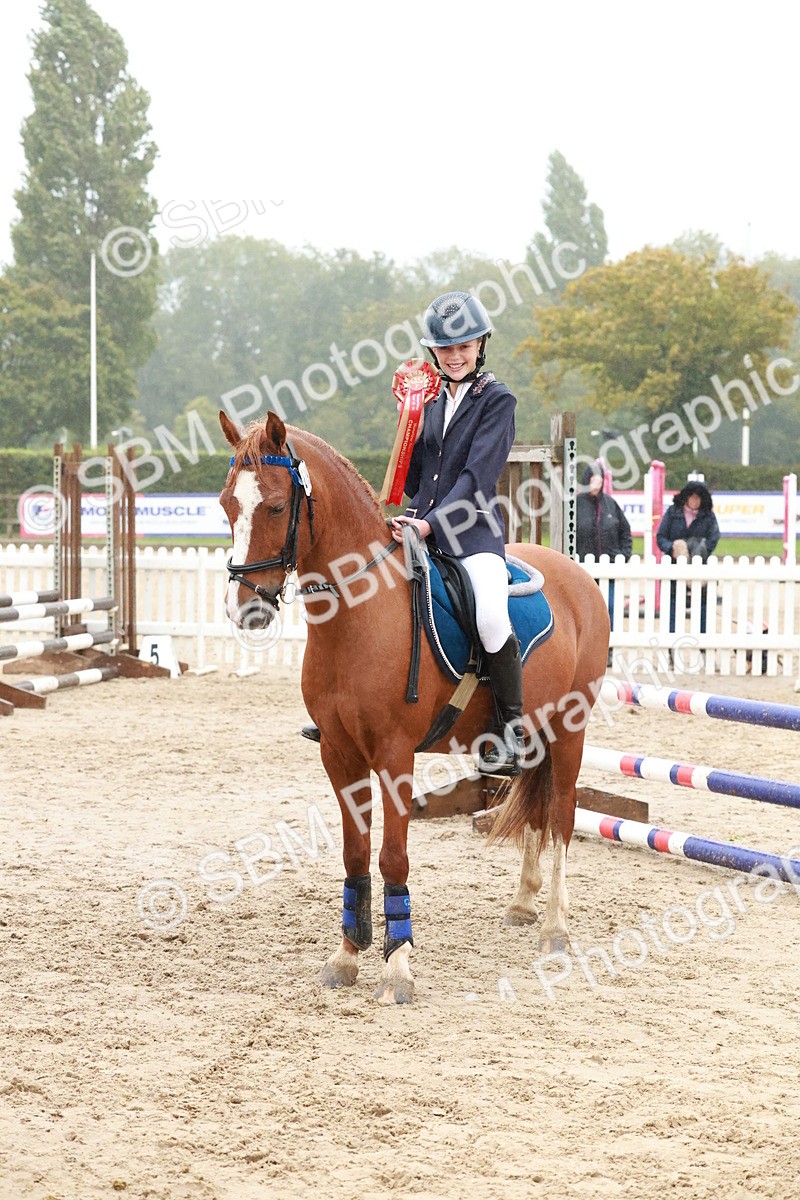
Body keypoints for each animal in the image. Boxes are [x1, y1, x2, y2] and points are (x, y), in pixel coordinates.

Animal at [219, 409, 610, 1004]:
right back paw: (522, 903)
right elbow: (355, 854)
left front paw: (398, 966)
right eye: (225, 505)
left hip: (571, 730)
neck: (359, 614)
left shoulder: (394, 755)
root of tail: (577, 577)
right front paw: (346, 956)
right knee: (538, 811)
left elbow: (392, 855)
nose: (246, 610)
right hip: (536, 733)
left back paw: (555, 928)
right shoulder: (339, 754)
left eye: (278, 506)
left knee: (562, 815)